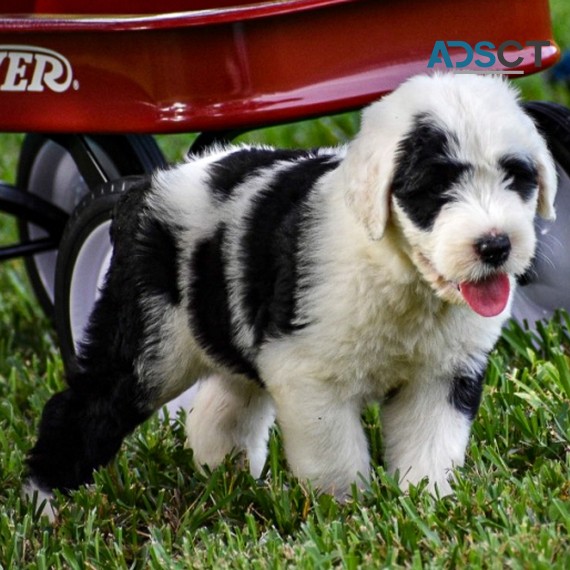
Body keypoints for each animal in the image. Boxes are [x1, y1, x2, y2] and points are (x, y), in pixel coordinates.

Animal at [25, 73, 556, 516]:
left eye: (517, 177)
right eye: (436, 186)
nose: (495, 246)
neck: (398, 273)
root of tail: (141, 188)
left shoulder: (442, 375)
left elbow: (429, 447)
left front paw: (428, 505)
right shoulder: (309, 375)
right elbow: (335, 458)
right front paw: (347, 513)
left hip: (225, 336)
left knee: (219, 413)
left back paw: (230, 480)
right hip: (145, 346)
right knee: (82, 407)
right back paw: (45, 503)